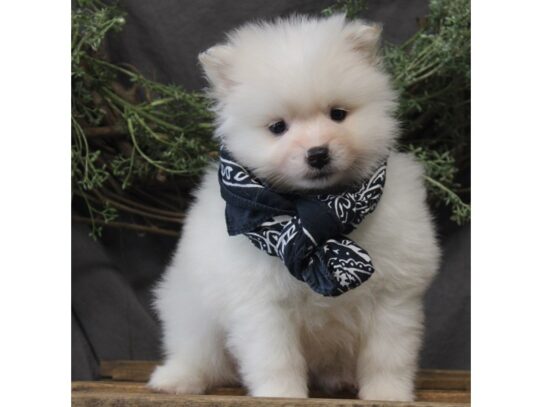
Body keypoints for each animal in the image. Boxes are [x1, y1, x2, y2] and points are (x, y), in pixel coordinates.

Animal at [150, 13, 442, 402]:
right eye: (277, 127)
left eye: (338, 114)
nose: (317, 153)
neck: (315, 212)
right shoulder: (263, 304)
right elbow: (275, 357)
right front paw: (281, 393)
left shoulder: (393, 296)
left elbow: (387, 355)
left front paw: (387, 394)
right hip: (192, 310)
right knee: (197, 352)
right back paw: (177, 378)